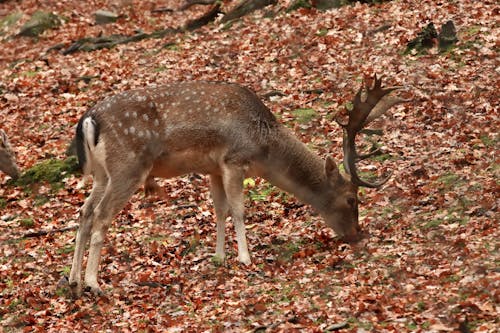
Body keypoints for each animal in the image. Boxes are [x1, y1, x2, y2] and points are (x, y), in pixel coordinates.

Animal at [69, 76, 406, 296]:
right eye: (351, 199)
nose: (356, 234)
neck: (263, 147)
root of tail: (89, 119)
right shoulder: (234, 159)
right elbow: (239, 210)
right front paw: (245, 257)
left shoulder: (213, 168)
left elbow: (219, 210)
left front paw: (219, 257)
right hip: (128, 167)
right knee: (101, 215)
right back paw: (94, 283)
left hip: (102, 174)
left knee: (84, 212)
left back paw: (73, 280)